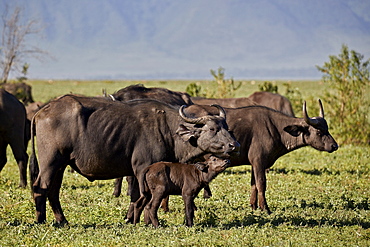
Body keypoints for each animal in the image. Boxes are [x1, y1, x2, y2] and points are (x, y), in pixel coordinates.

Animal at [31, 94, 240, 224]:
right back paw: (41, 220)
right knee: (40, 187)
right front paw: (145, 221)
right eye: (212, 129)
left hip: (61, 165)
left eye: (226, 127)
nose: (234, 145)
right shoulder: (142, 168)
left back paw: (62, 221)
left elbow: (135, 196)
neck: (168, 130)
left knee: (53, 191)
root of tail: (43, 110)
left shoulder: (136, 172)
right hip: (50, 162)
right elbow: (144, 196)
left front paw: (130, 219)